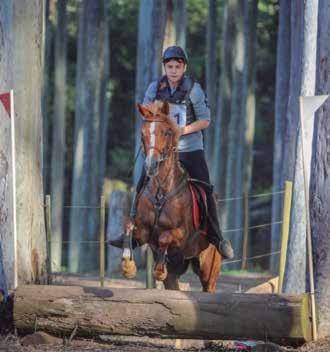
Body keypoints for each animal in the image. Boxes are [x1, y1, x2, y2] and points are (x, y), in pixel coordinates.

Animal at [124, 99, 222, 292]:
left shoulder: (181, 235)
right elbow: (129, 227)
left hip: (209, 268)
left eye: (166, 132)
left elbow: (164, 237)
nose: (151, 165)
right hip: (177, 274)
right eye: (142, 134)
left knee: (209, 285)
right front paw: (128, 265)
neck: (161, 192)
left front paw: (159, 269)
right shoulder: (144, 231)